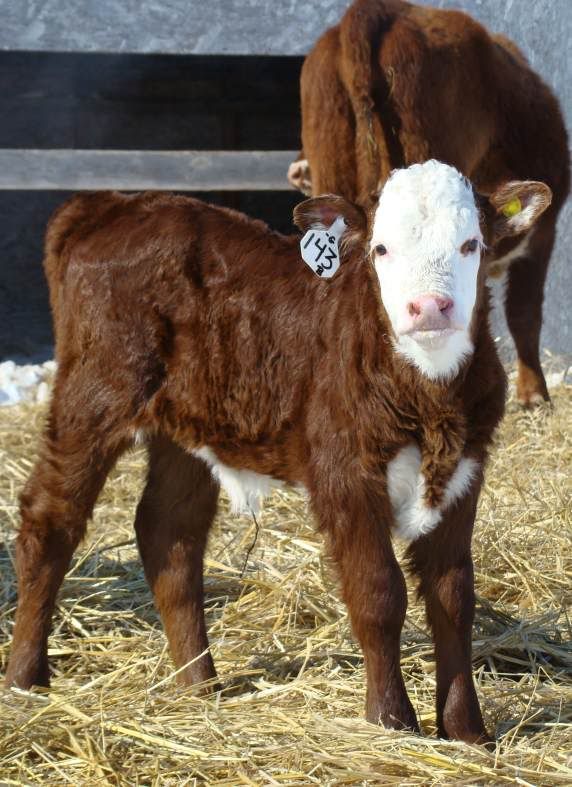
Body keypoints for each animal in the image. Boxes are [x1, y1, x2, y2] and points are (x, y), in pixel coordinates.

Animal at [5, 161, 551, 743]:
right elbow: (378, 594)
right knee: (50, 520)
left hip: (186, 426)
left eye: (471, 244)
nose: (428, 307)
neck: (428, 397)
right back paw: (26, 675)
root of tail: (108, 204)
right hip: (95, 392)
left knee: (169, 535)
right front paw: (391, 720)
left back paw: (199, 684)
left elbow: (454, 598)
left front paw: (468, 731)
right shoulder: (344, 472)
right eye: (381, 249)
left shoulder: (464, 471)